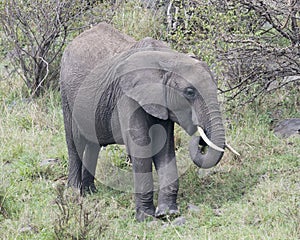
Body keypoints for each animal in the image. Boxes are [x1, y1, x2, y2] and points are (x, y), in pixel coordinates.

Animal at [59, 22, 238, 221]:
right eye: (190, 92)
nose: (200, 139)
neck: (166, 60)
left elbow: (165, 147)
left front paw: (168, 212)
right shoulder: (127, 95)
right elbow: (141, 145)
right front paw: (146, 218)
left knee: (93, 145)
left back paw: (91, 192)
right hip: (66, 93)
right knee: (75, 142)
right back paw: (75, 194)